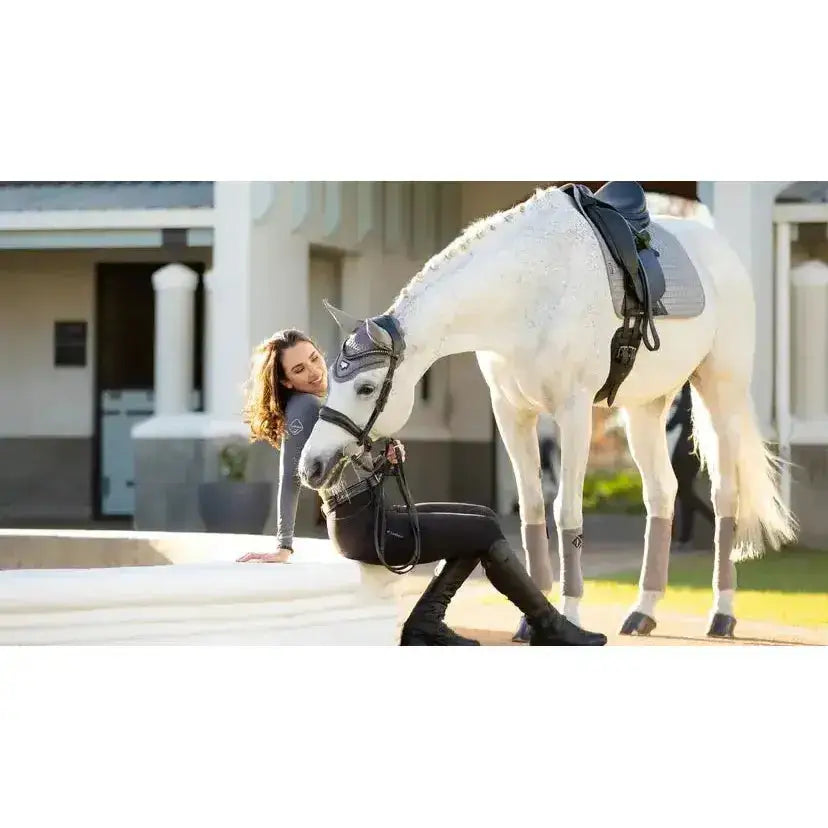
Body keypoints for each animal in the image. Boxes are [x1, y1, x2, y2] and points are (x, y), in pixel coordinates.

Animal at [297, 182, 797, 640]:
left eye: (366, 387)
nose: (311, 466)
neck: (529, 291)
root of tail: (722, 252)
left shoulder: (574, 411)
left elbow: (567, 513)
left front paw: (570, 615)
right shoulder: (511, 413)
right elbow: (533, 509)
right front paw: (531, 618)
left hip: (722, 393)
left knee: (725, 495)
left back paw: (722, 613)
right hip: (644, 409)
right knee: (661, 494)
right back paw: (643, 611)